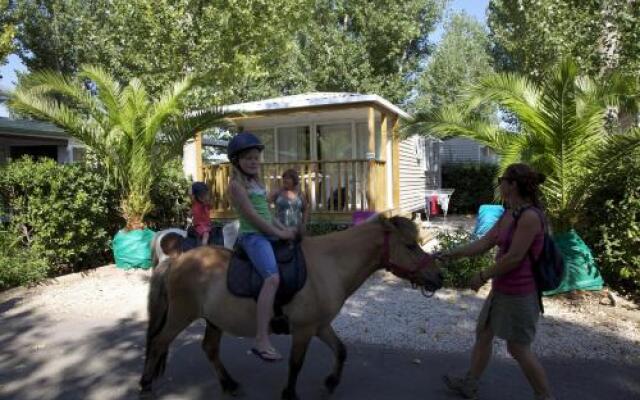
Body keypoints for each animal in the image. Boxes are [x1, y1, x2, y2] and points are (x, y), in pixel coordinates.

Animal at [141, 217, 440, 398]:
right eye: (410, 246)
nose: (436, 277)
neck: (329, 265)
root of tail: (177, 260)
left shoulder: (320, 326)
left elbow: (341, 350)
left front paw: (331, 382)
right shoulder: (304, 330)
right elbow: (296, 364)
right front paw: (290, 393)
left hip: (214, 319)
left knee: (209, 349)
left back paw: (229, 384)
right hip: (180, 316)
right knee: (158, 343)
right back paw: (145, 385)